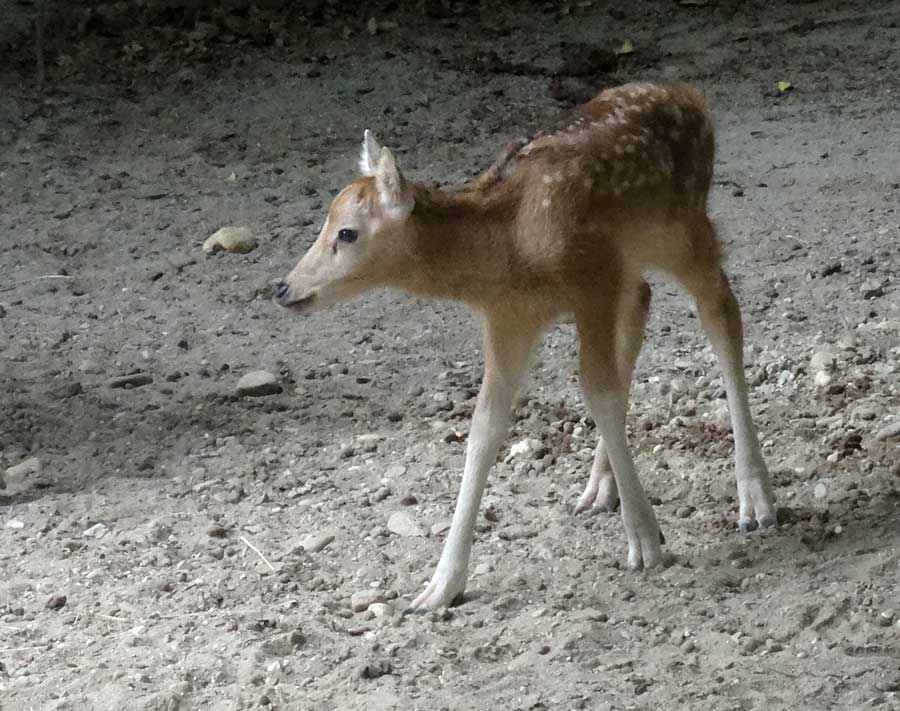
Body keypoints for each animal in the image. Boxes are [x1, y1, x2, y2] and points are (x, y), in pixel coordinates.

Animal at [270, 79, 776, 612]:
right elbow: (485, 426)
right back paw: (600, 488)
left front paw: (645, 541)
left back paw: (755, 499)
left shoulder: (591, 277)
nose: (283, 288)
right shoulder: (509, 318)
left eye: (346, 233)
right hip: (635, 256)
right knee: (642, 302)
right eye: (324, 224)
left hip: (683, 225)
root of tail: (691, 94)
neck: (510, 249)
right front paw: (439, 587)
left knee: (721, 313)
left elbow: (598, 393)